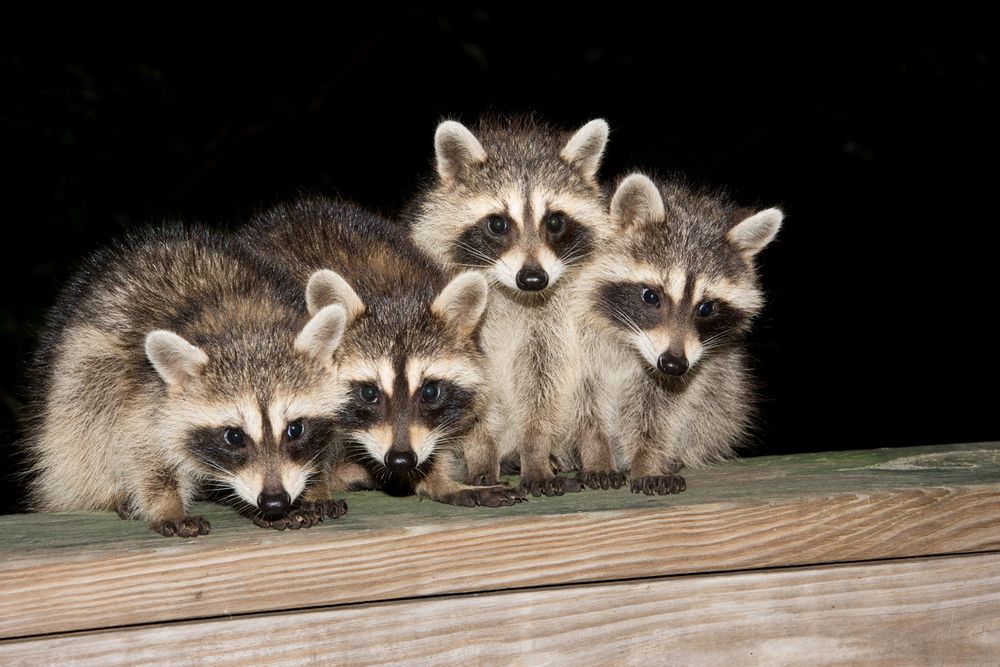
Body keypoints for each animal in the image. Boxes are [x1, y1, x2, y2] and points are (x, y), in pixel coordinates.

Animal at [23, 226, 350, 537]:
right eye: (234, 436)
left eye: (295, 429)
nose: (274, 501)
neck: (244, 322)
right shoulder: (145, 394)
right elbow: (145, 452)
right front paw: (167, 505)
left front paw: (313, 487)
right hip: (80, 376)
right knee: (85, 431)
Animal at [242, 197, 524, 507]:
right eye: (368, 393)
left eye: (430, 392)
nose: (401, 459)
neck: (392, 290)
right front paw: (314, 489)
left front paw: (438, 480)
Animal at [406, 116, 611, 496]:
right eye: (498, 223)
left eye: (555, 221)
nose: (533, 278)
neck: (515, 296)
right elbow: (475, 401)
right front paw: (482, 455)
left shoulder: (550, 329)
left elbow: (542, 389)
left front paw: (536, 453)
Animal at [569, 173, 783, 493]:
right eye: (650, 296)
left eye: (706, 308)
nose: (673, 364)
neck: (627, 339)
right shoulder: (570, 337)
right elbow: (584, 404)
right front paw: (596, 453)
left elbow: (661, 413)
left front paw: (648, 460)